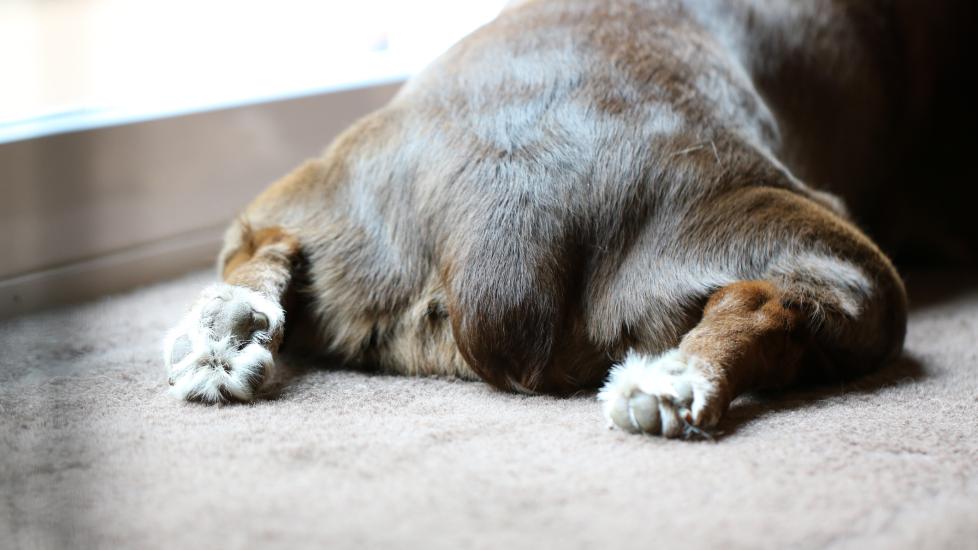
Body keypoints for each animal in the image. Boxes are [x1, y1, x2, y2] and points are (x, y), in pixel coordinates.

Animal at [162, 0, 968, 440]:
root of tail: (494, 241)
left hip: (327, 194)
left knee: (260, 242)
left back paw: (225, 334)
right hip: (819, 239)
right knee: (775, 303)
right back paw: (676, 387)